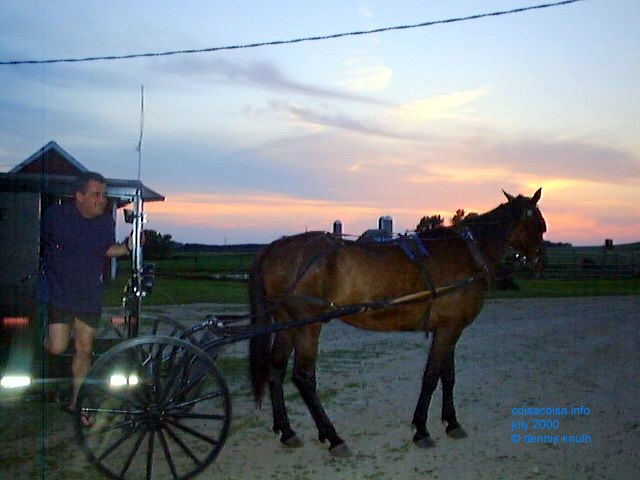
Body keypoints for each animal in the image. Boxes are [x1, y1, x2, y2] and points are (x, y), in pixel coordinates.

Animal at [248, 189, 546, 456]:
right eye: (539, 225)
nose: (540, 262)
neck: (467, 253)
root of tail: (275, 246)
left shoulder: (449, 328)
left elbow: (447, 377)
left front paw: (451, 423)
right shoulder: (447, 330)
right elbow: (431, 376)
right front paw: (422, 429)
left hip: (287, 323)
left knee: (276, 369)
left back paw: (287, 431)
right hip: (307, 325)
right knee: (303, 377)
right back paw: (333, 437)